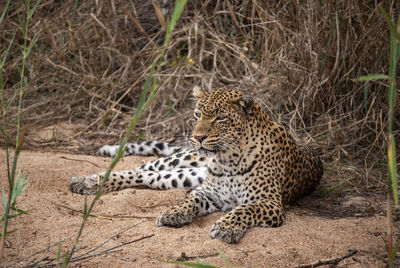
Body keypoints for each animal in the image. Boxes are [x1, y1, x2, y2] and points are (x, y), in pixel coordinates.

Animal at [70, 87, 324, 243]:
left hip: (182, 176)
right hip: (183, 160)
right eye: (197, 114)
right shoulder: (208, 192)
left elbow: (244, 209)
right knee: (143, 168)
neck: (229, 160)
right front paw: (173, 213)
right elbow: (189, 201)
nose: (198, 137)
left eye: (220, 118)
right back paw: (86, 182)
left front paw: (226, 227)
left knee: (149, 177)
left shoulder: (269, 203)